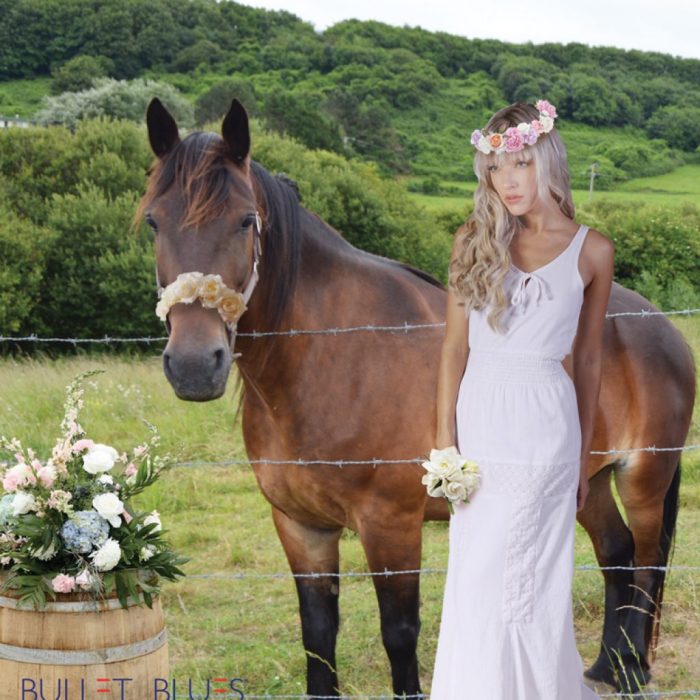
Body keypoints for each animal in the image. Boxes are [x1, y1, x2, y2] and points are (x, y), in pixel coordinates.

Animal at [138, 97, 696, 696]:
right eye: (154, 221)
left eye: (246, 220)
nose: (195, 364)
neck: (334, 359)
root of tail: (660, 327)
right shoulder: (300, 526)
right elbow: (317, 632)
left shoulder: (390, 526)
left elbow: (399, 633)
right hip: (585, 484)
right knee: (616, 554)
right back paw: (604, 668)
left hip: (643, 479)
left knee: (646, 562)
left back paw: (633, 669)